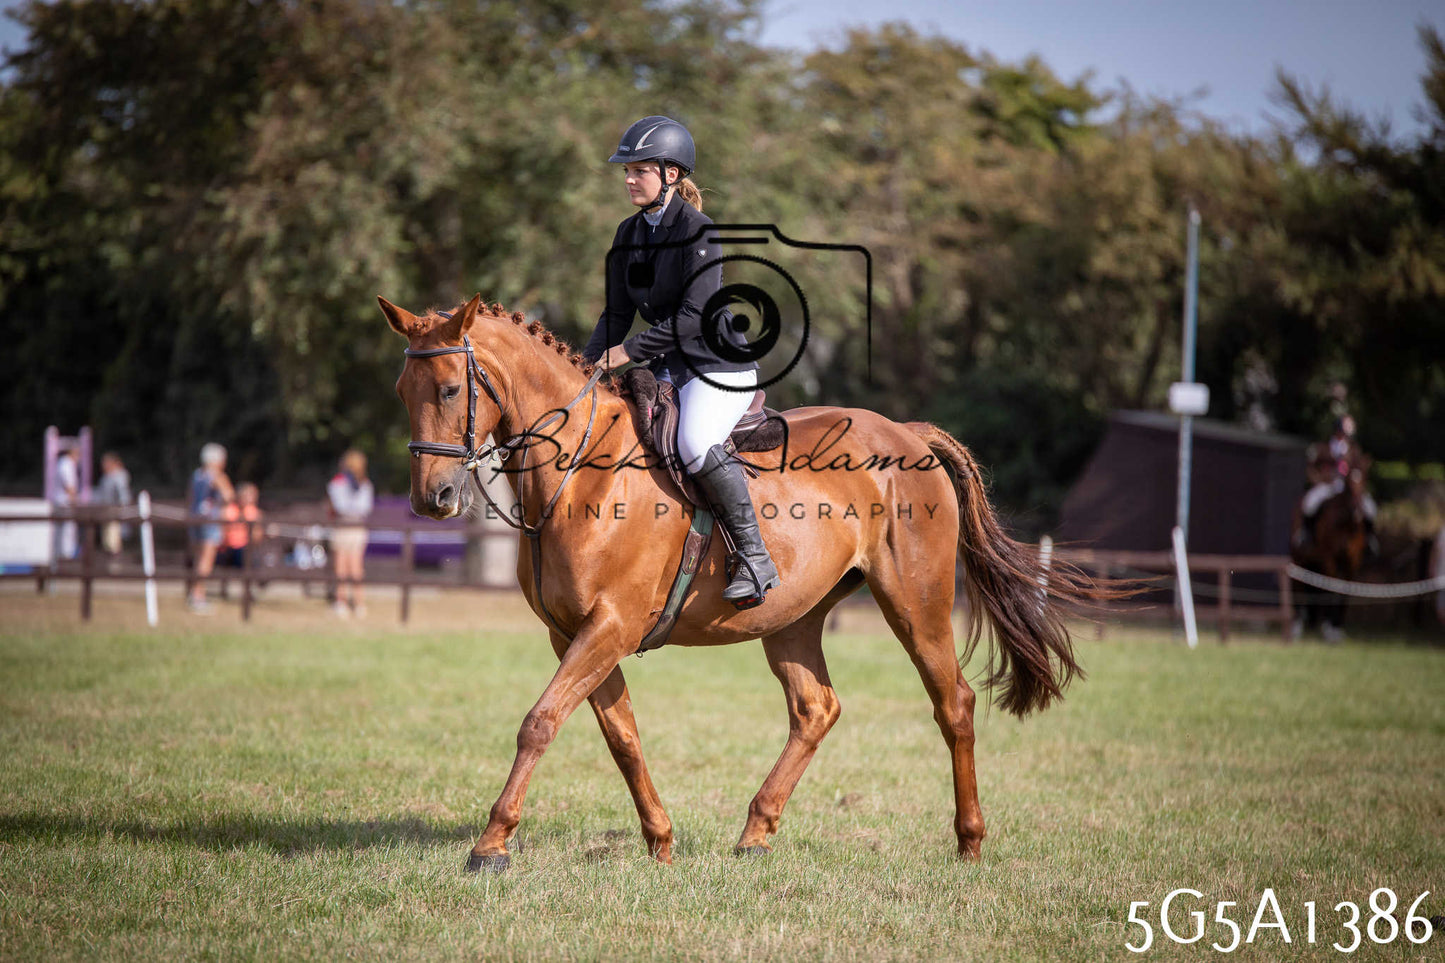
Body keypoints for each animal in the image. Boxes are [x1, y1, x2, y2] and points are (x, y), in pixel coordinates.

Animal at [380, 294, 1111, 872]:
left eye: (450, 390)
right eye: (402, 393)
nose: (432, 499)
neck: (582, 473)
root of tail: (907, 435)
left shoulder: (609, 625)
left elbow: (539, 722)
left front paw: (491, 845)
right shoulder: (575, 635)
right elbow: (620, 736)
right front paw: (660, 840)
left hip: (915, 603)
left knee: (952, 703)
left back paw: (968, 841)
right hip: (791, 617)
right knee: (815, 707)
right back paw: (756, 831)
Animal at [1291, 465, 1371, 641]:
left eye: (1364, 480)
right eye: (1348, 484)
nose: (1357, 511)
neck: (1346, 526)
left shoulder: (1352, 563)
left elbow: (1343, 592)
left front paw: (1336, 628)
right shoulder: (1329, 559)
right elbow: (1330, 588)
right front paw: (1328, 629)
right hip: (1299, 558)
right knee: (1298, 585)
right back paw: (1297, 625)